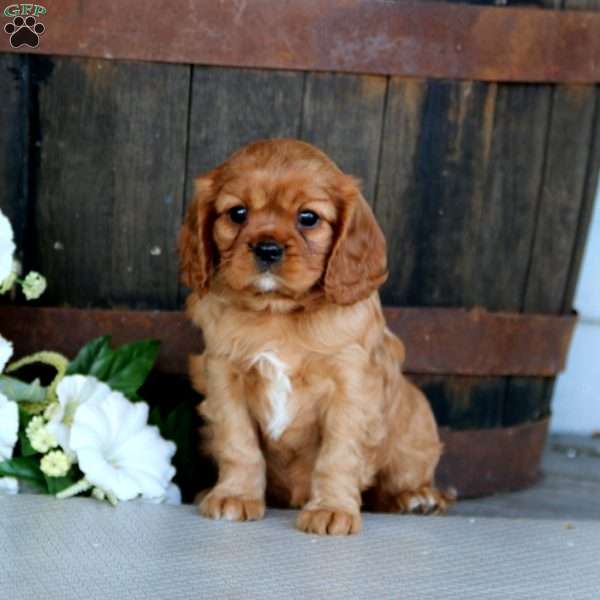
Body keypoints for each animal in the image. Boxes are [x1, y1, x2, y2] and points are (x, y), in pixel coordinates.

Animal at [178, 139, 450, 536]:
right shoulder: (223, 378)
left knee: (399, 481)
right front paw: (236, 495)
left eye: (308, 218)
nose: (267, 248)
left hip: (416, 423)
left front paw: (332, 508)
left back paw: (418, 498)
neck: (278, 313)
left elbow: (337, 455)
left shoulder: (350, 389)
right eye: (237, 213)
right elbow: (238, 442)